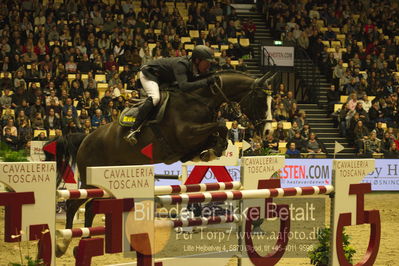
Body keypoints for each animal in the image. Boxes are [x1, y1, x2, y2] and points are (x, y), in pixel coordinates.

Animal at [48, 70, 276, 256]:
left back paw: (88, 240)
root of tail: (86, 138)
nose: (268, 132)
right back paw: (62, 245)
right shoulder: (186, 134)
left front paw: (210, 151)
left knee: (92, 207)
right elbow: (219, 125)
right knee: (73, 204)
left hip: (107, 182)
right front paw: (212, 149)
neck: (201, 99)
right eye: (261, 99)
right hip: (90, 181)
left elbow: (217, 134)